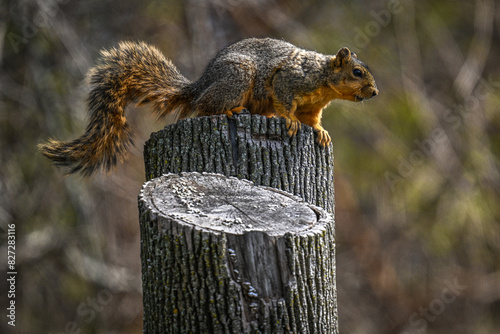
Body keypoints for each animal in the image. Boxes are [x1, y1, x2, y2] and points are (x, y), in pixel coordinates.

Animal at [40, 37, 378, 176]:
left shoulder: (312, 106)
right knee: (205, 108)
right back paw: (231, 111)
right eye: (357, 72)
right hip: (237, 79)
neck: (323, 79)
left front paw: (320, 132)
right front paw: (290, 121)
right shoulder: (290, 80)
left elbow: (313, 120)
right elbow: (285, 103)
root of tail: (200, 86)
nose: (375, 92)